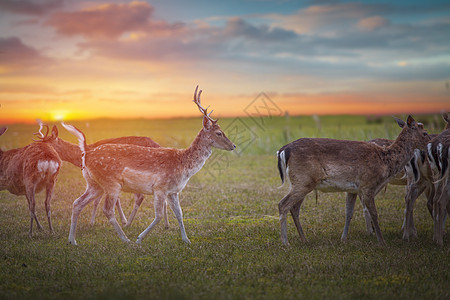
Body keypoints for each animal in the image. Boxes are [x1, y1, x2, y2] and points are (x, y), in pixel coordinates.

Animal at [34, 120, 162, 227]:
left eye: (49, 143)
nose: (41, 151)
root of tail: (157, 144)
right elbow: (113, 200)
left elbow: (99, 201)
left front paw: (94, 222)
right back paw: (164, 225)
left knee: (140, 197)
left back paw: (130, 223)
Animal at [64, 85, 239, 245]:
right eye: (219, 133)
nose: (233, 145)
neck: (184, 166)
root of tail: (86, 152)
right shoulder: (160, 188)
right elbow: (159, 215)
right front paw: (139, 238)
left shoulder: (173, 191)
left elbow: (180, 214)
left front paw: (186, 240)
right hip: (111, 183)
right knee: (107, 210)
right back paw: (126, 239)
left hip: (94, 184)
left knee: (77, 203)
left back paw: (72, 240)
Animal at [276, 115, 430, 246]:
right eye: (425, 133)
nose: (431, 143)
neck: (385, 161)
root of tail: (283, 150)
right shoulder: (368, 185)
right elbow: (374, 213)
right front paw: (382, 242)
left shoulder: (353, 189)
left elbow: (348, 212)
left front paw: (343, 239)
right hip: (303, 180)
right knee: (283, 204)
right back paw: (285, 243)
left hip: (302, 182)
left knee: (294, 208)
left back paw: (304, 239)